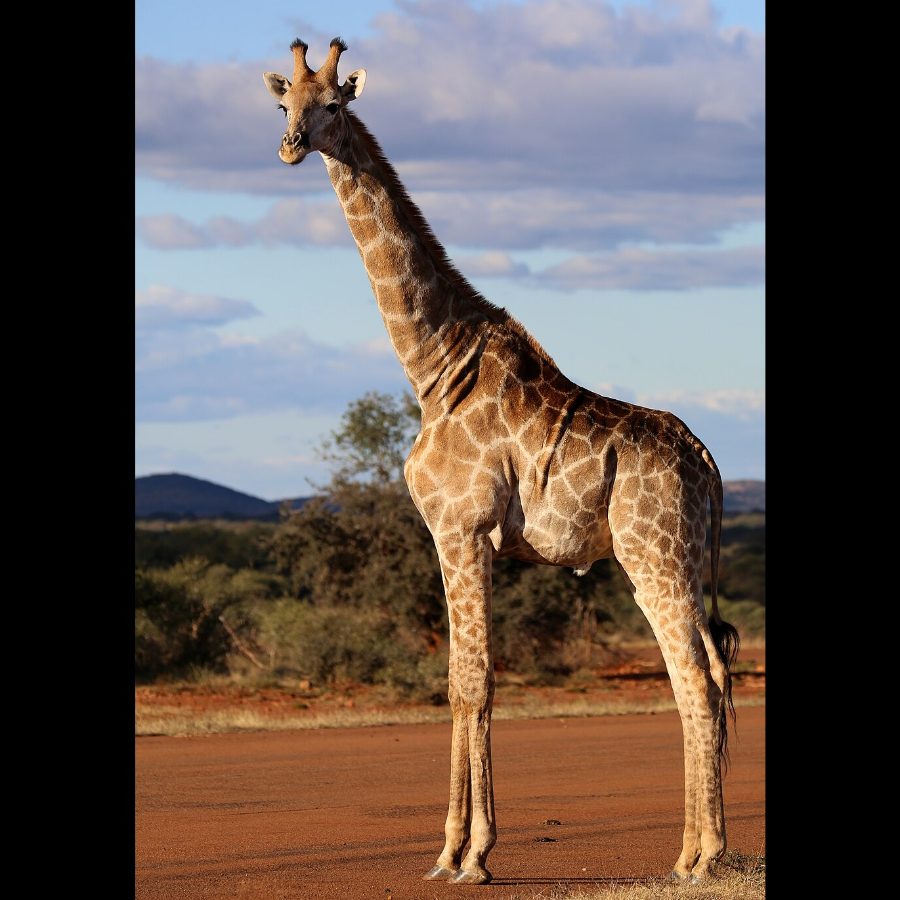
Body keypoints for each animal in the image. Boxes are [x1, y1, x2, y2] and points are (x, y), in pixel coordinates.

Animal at [263, 38, 740, 886]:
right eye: (286, 102)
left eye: (335, 105)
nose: (290, 146)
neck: (431, 365)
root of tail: (710, 463)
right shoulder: (453, 537)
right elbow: (459, 680)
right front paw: (448, 851)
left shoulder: (463, 529)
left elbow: (472, 682)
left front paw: (472, 854)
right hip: (675, 556)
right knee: (709, 670)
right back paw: (693, 849)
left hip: (653, 553)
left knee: (695, 676)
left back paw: (701, 857)